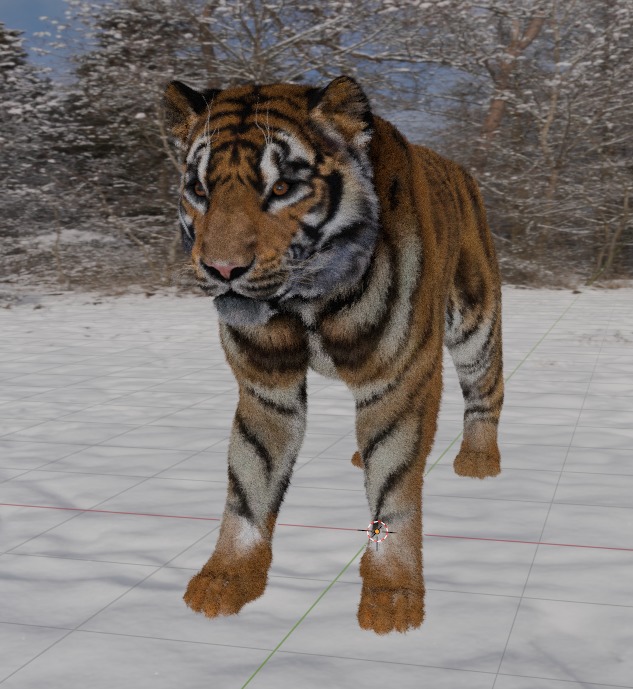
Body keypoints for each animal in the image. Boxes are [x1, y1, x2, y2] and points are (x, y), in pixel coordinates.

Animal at [163, 75, 504, 635]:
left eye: (281, 189)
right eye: (200, 190)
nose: (222, 269)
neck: (307, 301)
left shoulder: (398, 378)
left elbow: (394, 489)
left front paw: (392, 598)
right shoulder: (267, 386)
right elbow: (249, 484)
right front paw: (225, 579)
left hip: (474, 320)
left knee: (486, 388)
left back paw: (479, 460)